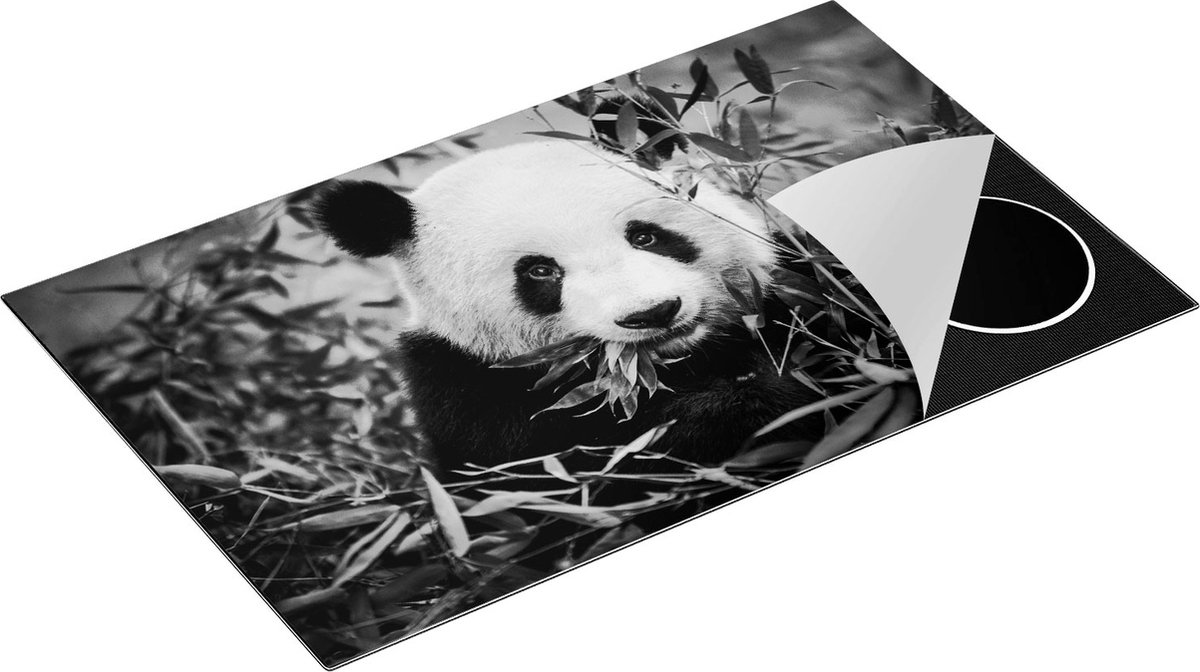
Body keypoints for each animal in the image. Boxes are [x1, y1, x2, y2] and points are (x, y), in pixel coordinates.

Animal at [311, 140, 819, 473]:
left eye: (645, 236)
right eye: (539, 271)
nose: (654, 313)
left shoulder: (788, 284)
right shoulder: (469, 393)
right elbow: (593, 463)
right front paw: (742, 407)